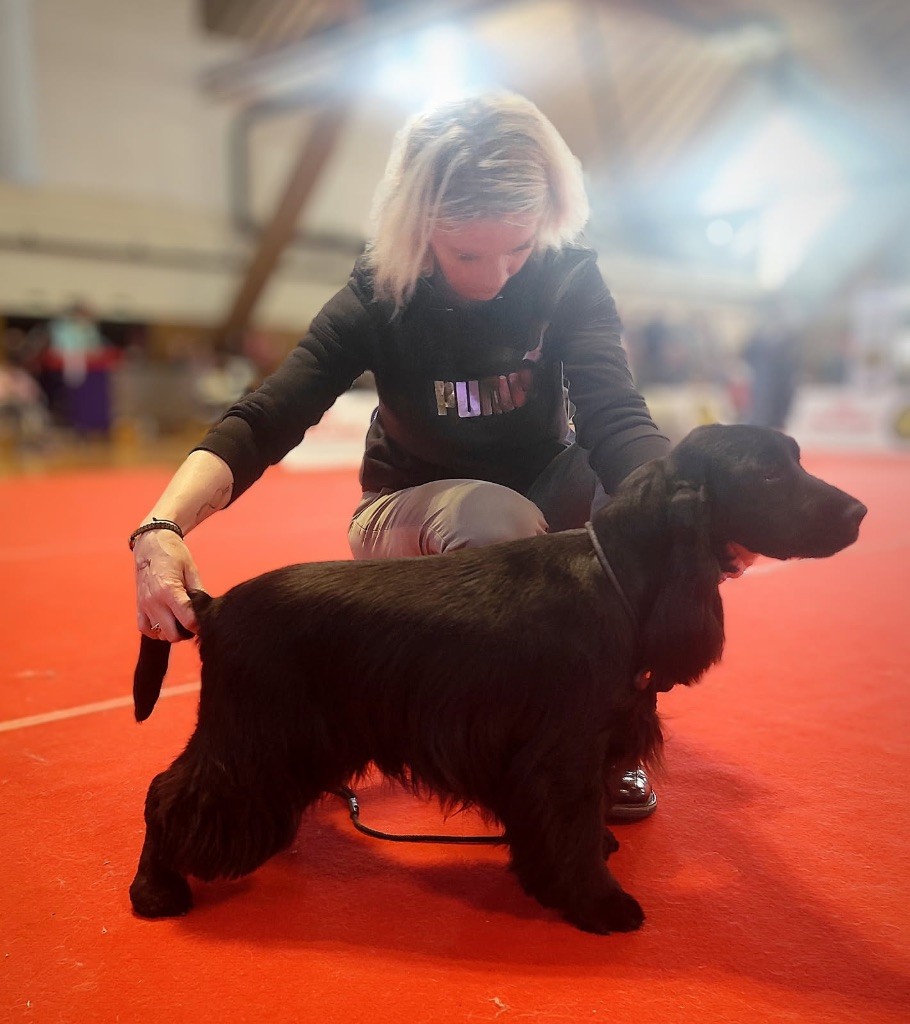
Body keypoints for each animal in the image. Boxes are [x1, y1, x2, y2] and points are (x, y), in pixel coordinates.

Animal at [128, 424, 866, 933]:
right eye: (767, 473)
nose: (859, 511)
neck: (617, 576)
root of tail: (213, 604)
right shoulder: (563, 750)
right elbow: (569, 823)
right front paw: (598, 900)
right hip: (250, 735)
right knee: (169, 794)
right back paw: (156, 891)